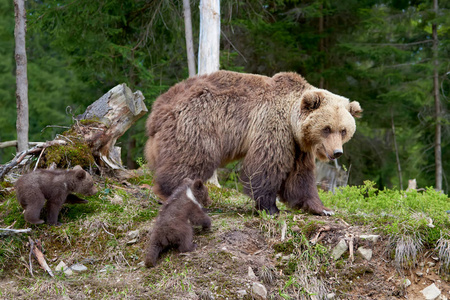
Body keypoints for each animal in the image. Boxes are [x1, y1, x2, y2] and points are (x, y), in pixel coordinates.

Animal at [145, 70, 362, 216]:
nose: (336, 152)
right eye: (327, 128)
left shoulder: (297, 146)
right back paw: (174, 192)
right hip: (197, 123)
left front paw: (322, 208)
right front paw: (270, 207)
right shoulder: (274, 127)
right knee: (191, 160)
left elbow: (300, 177)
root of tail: (157, 109)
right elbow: (267, 166)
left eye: (343, 130)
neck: (292, 122)